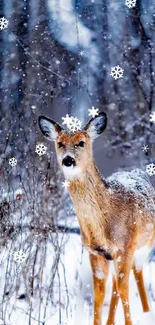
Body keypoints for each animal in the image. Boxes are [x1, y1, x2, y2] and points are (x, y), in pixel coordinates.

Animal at [38, 112, 155, 324]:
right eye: (60, 143)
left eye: (81, 142)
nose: (68, 160)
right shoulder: (95, 252)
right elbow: (99, 294)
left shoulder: (126, 246)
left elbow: (124, 290)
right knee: (116, 285)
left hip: (145, 245)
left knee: (136, 274)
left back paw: (146, 312)